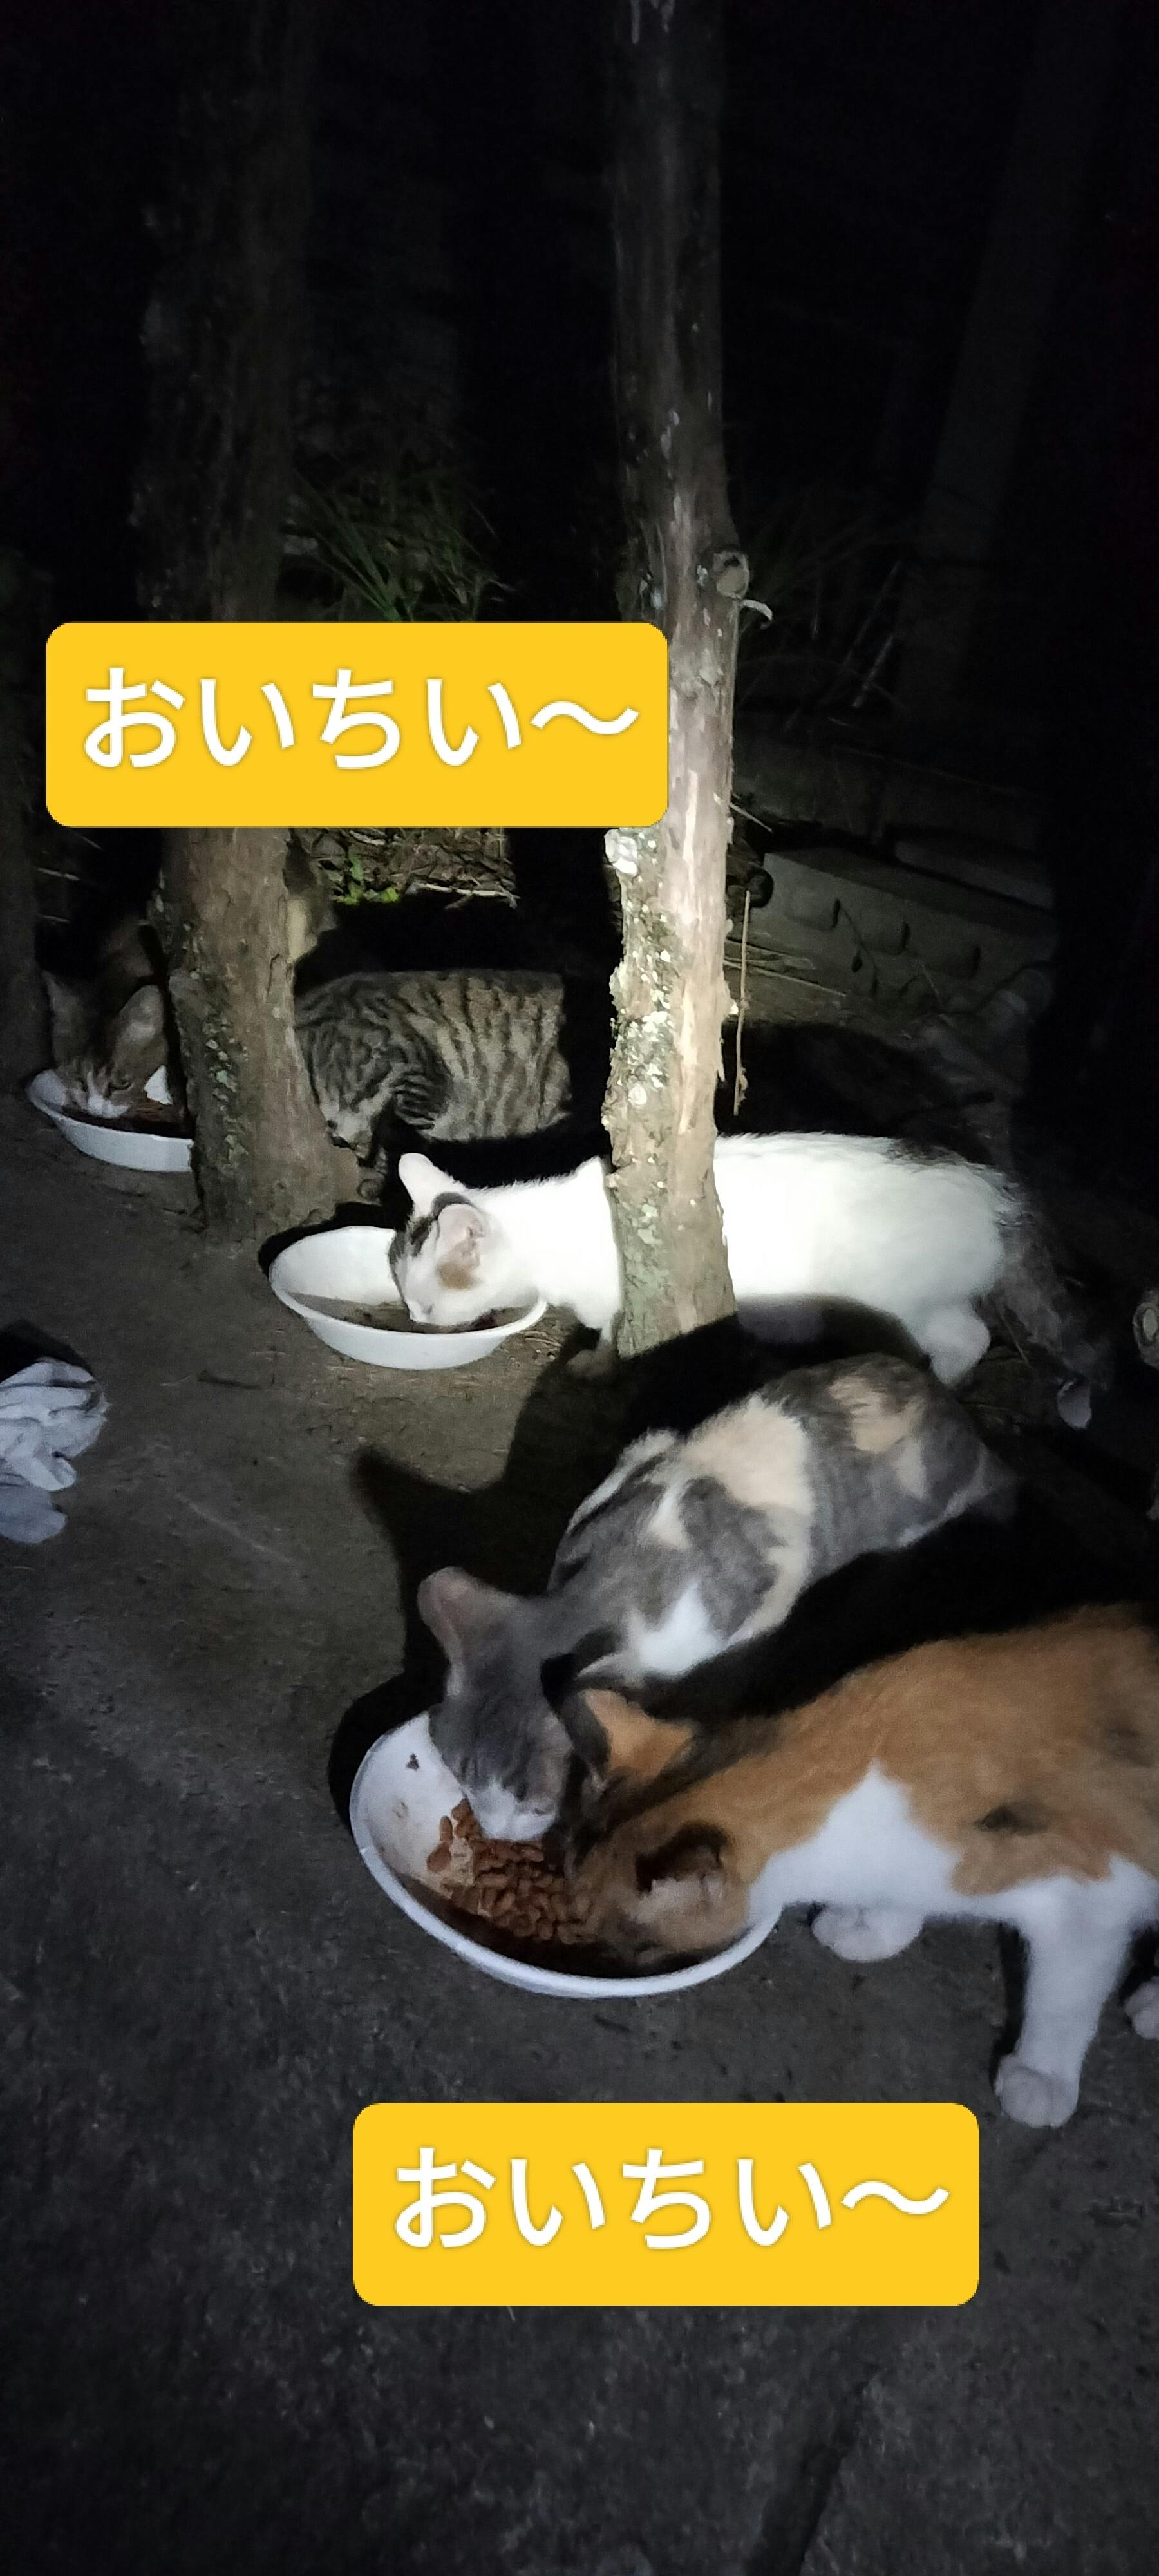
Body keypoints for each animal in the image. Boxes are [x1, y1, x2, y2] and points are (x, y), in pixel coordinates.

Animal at [391, 1134, 1107, 1400]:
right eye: (408, 1300)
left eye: (427, 1303)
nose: (416, 1323)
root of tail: (999, 1195)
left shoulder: (617, 1296)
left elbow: (610, 1331)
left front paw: (597, 1363)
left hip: (912, 1302)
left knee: (969, 1339)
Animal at [416, 1351, 1013, 1840]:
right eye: (462, 1773)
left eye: (525, 1792)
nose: (492, 1831)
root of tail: (965, 1420)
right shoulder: (638, 1457)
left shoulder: (771, 1576)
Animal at [558, 1605, 1159, 2127]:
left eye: (635, 1942)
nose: (608, 1964)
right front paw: (874, 1929)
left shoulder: (1091, 1901)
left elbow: (1062, 1997)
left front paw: (1040, 2076)